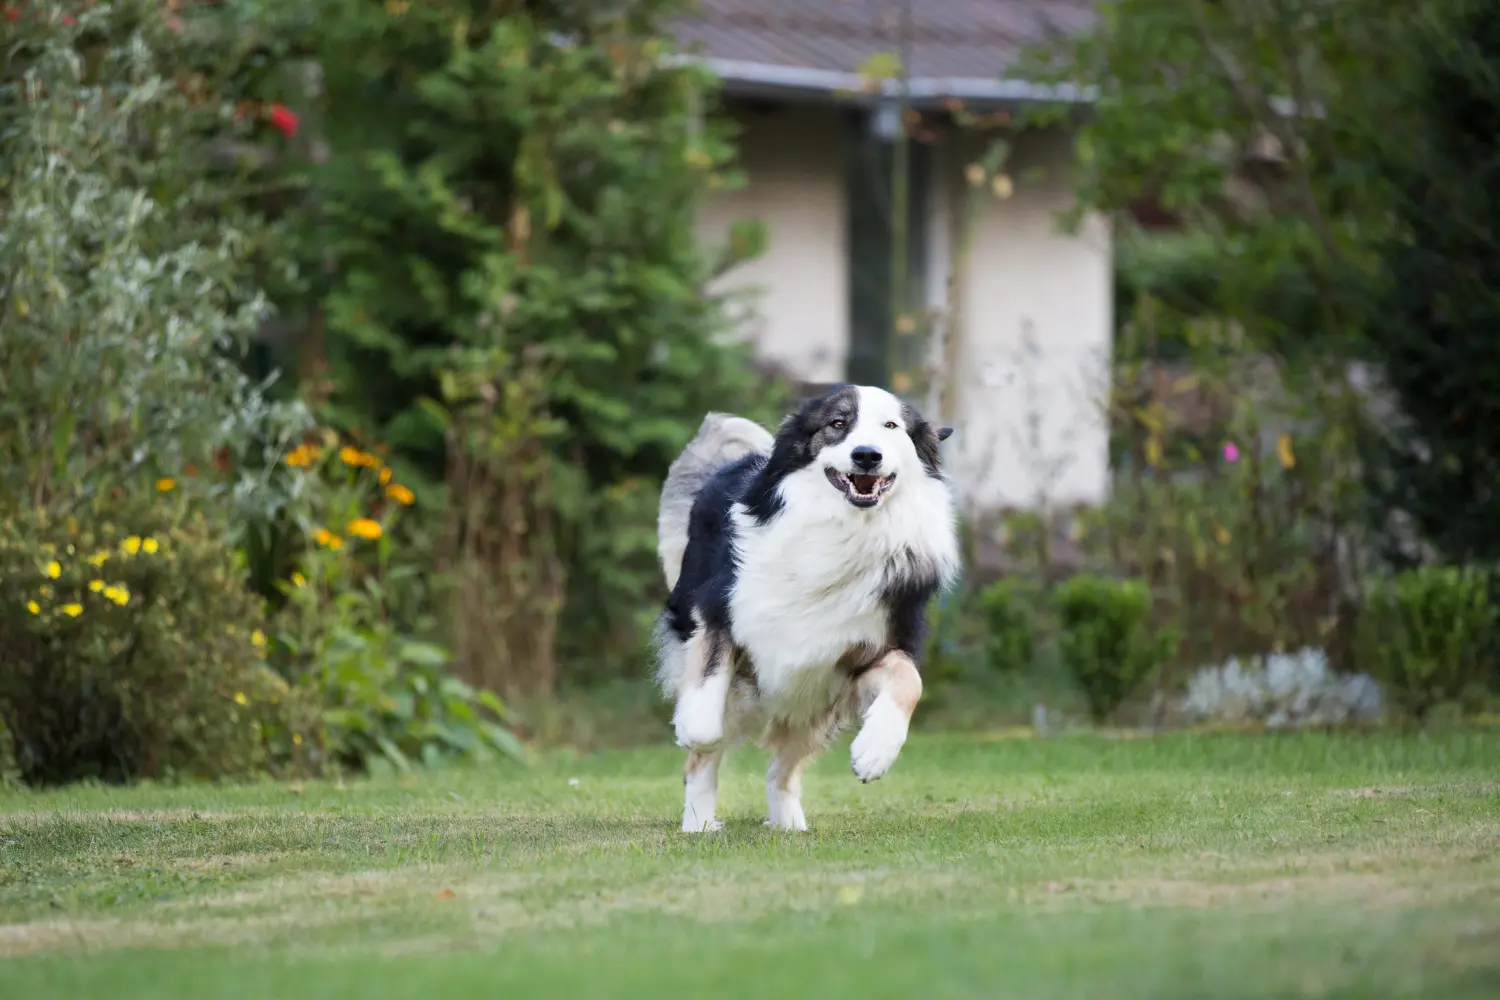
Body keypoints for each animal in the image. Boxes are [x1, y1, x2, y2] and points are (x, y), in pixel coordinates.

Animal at [657, 386, 960, 833]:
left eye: (891, 426)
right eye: (837, 423)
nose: (867, 455)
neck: (844, 527)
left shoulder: (868, 652)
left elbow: (910, 681)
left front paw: (875, 753)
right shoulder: (717, 608)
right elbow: (708, 694)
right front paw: (692, 724)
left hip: (813, 701)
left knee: (781, 768)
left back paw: (787, 825)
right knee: (705, 760)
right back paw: (699, 825)